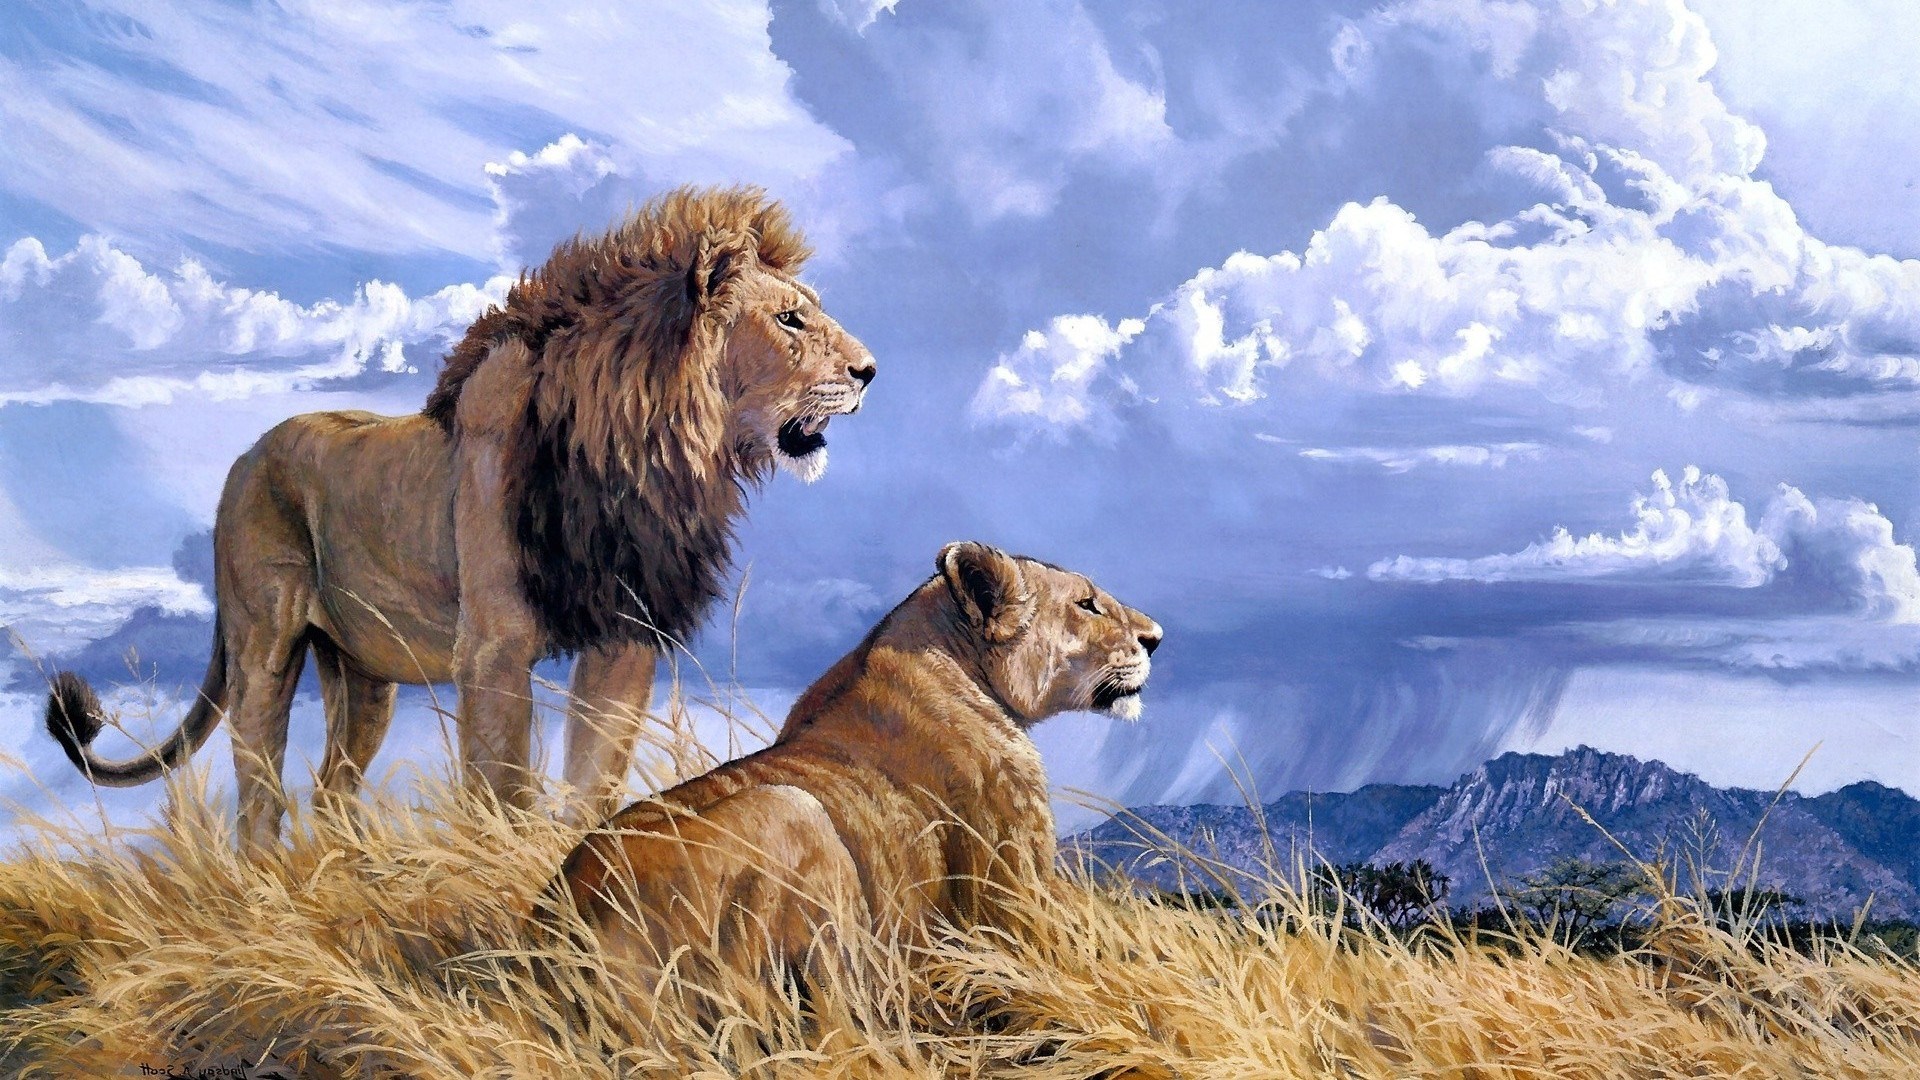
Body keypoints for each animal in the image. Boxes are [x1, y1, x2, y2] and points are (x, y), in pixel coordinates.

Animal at [44, 186, 876, 849]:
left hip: (362, 673)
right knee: (259, 793)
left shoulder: (623, 638)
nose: (869, 371)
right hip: (264, 647)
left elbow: (593, 781)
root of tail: (245, 456)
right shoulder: (495, 648)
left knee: (332, 791)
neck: (643, 452)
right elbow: (504, 792)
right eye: (792, 320)